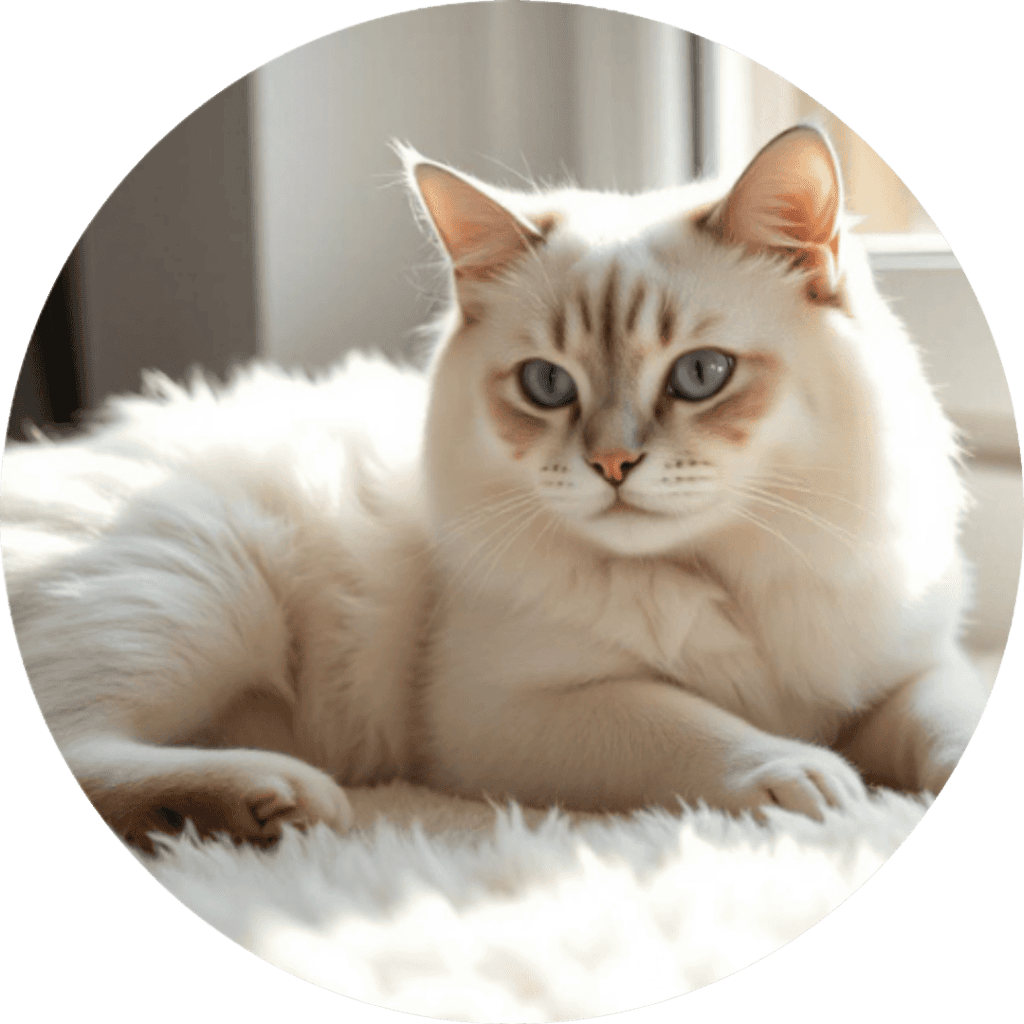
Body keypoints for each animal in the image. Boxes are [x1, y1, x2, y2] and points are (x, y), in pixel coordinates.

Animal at [2, 123, 991, 851]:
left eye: (700, 375)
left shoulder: (907, 670)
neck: (724, 571)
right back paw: (273, 801)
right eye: (547, 386)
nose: (612, 465)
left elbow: (948, 721)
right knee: (83, 749)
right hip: (191, 596)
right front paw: (813, 779)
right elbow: (693, 723)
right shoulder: (514, 713)